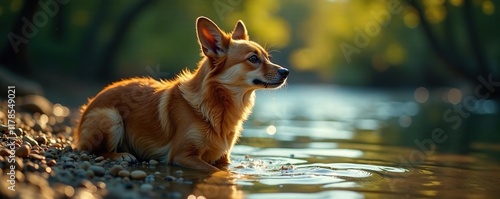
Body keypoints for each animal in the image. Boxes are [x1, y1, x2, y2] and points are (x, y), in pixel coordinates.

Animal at [72, 15, 288, 171]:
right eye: (253, 59)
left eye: (267, 58)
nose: (286, 72)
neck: (217, 102)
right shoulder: (182, 155)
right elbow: (214, 171)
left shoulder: (224, 158)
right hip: (110, 116)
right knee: (91, 150)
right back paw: (120, 154)